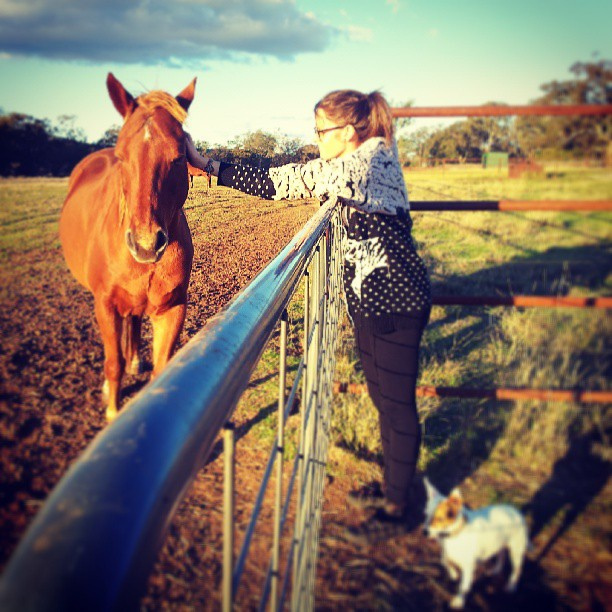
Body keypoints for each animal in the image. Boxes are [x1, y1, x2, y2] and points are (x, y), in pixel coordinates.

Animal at [60, 73, 196, 421]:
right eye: (122, 157)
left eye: (179, 157)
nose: (147, 245)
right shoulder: (105, 306)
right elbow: (113, 363)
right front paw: (112, 411)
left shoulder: (172, 308)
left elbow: (160, 368)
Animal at [423, 479, 529, 609]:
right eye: (425, 515)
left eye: (440, 519)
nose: (424, 532)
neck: (454, 534)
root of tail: (517, 512)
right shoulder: (447, 551)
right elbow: (444, 560)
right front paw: (453, 574)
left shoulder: (468, 567)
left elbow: (463, 587)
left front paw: (459, 601)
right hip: (500, 541)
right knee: (501, 554)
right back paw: (496, 570)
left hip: (516, 551)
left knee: (517, 569)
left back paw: (511, 586)